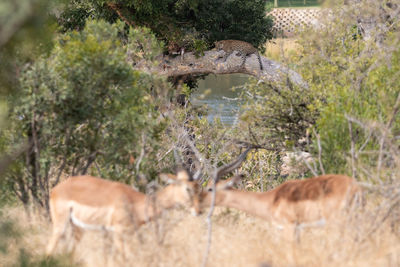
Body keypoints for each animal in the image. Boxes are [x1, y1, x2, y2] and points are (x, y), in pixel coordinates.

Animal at [46, 170, 202, 255]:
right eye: (187, 188)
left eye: (197, 187)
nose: (198, 211)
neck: (134, 202)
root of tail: (56, 189)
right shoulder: (118, 233)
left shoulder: (128, 235)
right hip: (60, 226)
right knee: (49, 248)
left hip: (78, 228)